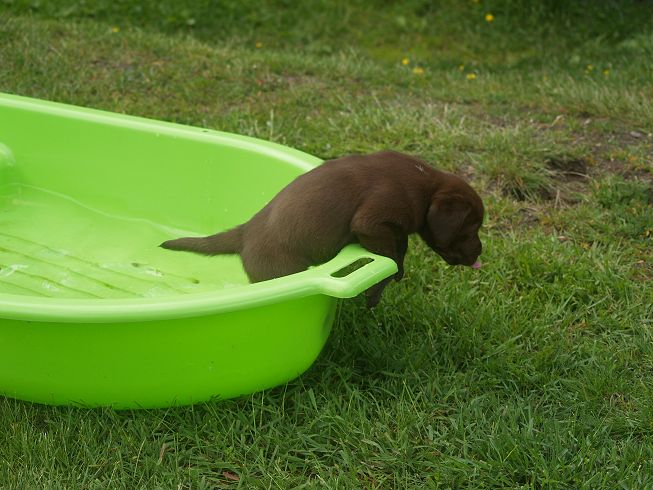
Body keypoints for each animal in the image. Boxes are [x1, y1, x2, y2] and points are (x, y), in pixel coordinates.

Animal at [161, 151, 484, 307]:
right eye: (471, 230)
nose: (481, 252)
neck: (427, 184)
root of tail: (245, 231)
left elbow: (399, 243)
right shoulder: (372, 219)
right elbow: (392, 256)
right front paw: (384, 283)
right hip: (280, 270)